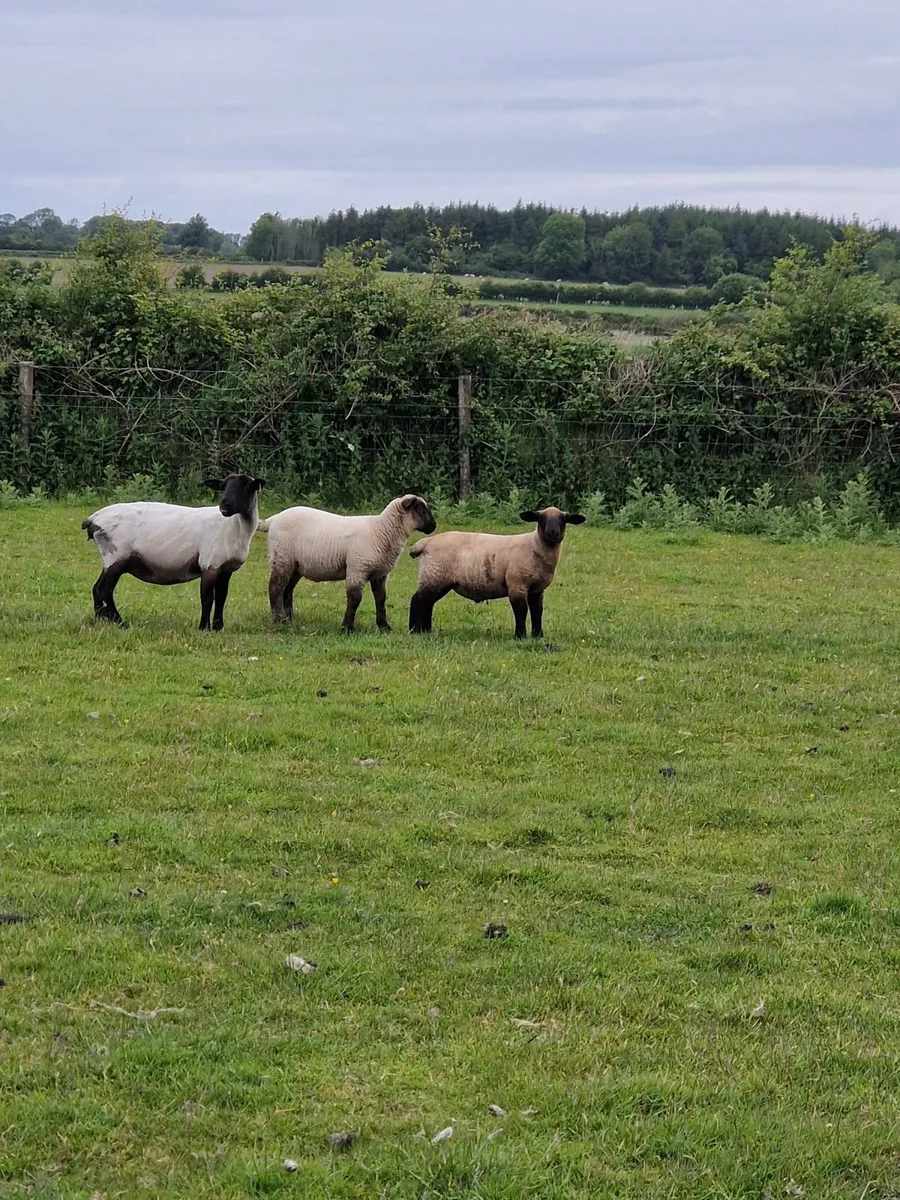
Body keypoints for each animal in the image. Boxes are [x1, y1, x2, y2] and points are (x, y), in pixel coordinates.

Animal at [82, 473, 264, 631]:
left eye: (245, 486)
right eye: (224, 486)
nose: (224, 505)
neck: (234, 527)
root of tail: (93, 520)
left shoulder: (226, 569)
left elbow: (221, 598)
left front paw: (218, 628)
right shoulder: (209, 564)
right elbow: (207, 598)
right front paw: (204, 628)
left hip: (111, 558)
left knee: (97, 589)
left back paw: (102, 620)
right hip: (116, 555)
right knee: (103, 590)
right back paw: (119, 622)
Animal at [261, 494, 436, 631]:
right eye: (421, 509)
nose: (434, 526)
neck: (381, 530)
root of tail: (274, 519)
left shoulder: (380, 573)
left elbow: (381, 599)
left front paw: (384, 627)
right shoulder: (357, 568)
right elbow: (355, 599)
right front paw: (347, 628)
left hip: (295, 565)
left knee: (287, 590)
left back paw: (289, 619)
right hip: (282, 558)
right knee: (275, 588)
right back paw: (279, 620)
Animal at [408, 506, 585, 639]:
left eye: (563, 520)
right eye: (541, 519)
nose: (552, 532)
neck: (534, 546)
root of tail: (426, 542)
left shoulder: (537, 589)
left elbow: (537, 611)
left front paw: (537, 636)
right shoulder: (517, 584)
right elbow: (521, 611)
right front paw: (520, 636)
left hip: (440, 579)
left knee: (428, 603)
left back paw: (426, 631)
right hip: (433, 575)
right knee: (418, 600)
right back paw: (414, 631)